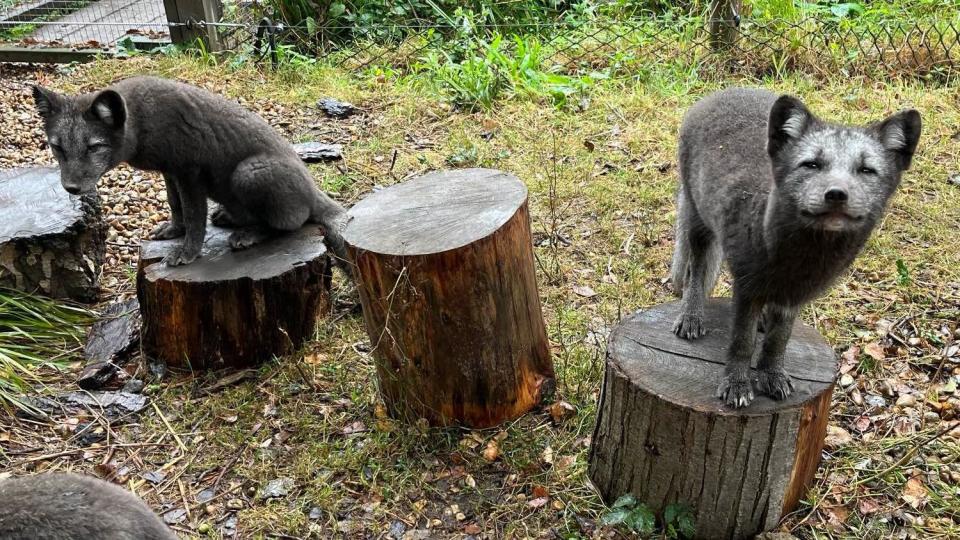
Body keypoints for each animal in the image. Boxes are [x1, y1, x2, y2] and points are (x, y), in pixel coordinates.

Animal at [33, 76, 348, 268]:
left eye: (94, 147)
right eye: (57, 147)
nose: (71, 189)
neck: (142, 121)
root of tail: (314, 191)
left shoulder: (189, 173)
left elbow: (195, 216)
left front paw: (188, 253)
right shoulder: (170, 172)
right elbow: (176, 205)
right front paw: (175, 230)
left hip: (247, 173)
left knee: (291, 223)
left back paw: (251, 233)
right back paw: (230, 217)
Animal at [672, 88, 920, 408]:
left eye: (866, 170)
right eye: (811, 164)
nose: (836, 194)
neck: (800, 261)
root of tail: (723, 92)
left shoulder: (796, 297)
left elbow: (779, 341)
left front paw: (771, 375)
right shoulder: (747, 286)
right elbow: (742, 342)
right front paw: (737, 384)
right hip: (697, 223)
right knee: (696, 272)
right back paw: (691, 316)